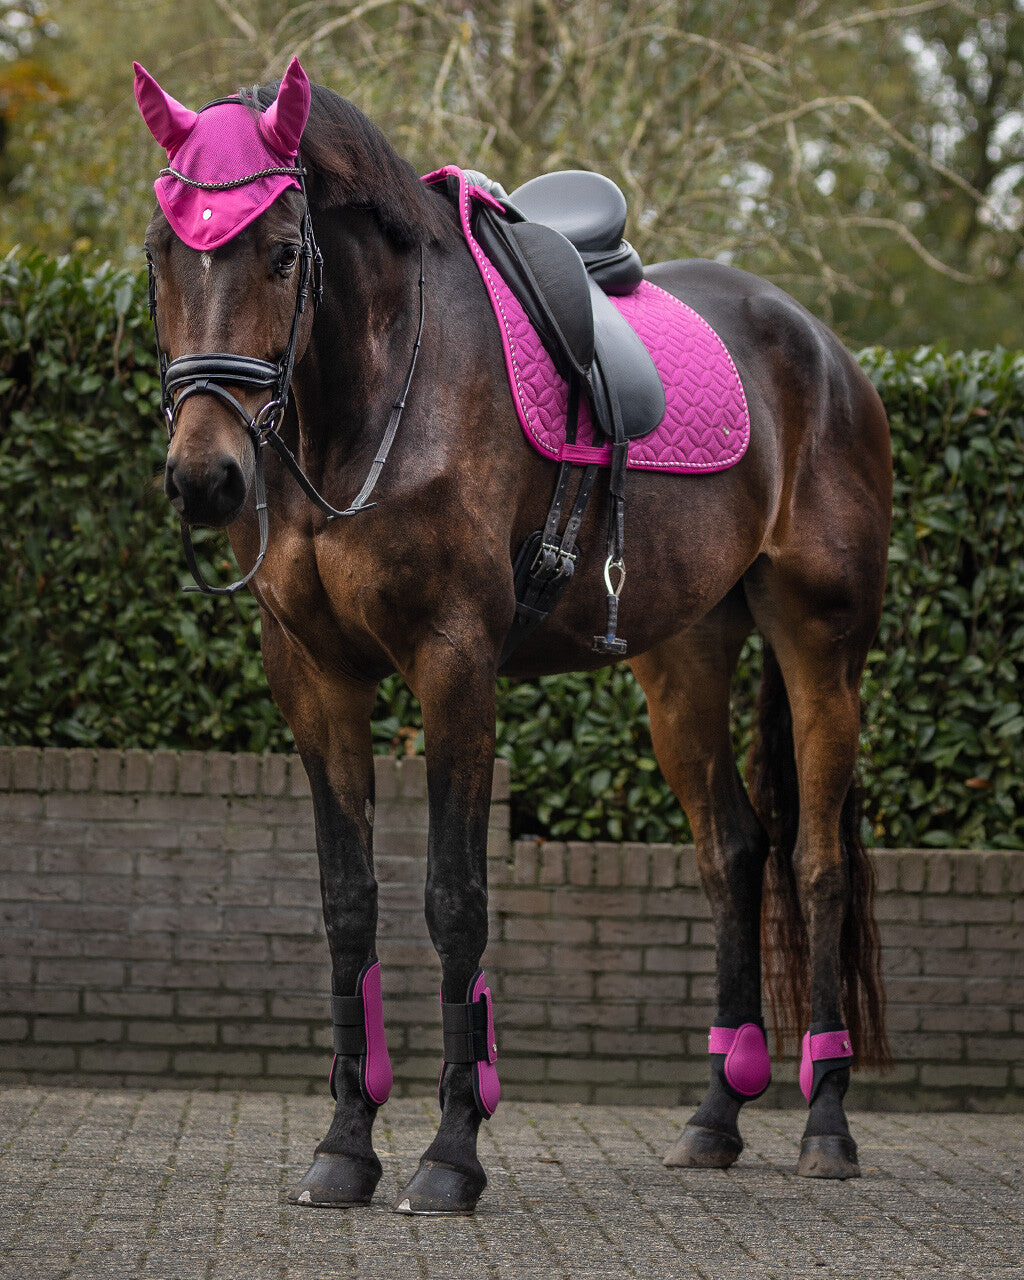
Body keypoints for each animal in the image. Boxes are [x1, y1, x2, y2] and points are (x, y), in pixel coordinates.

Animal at [134, 57, 892, 1215]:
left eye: (283, 251)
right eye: (160, 252)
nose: (206, 476)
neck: (368, 404)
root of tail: (825, 350)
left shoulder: (455, 664)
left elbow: (455, 899)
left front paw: (452, 1152)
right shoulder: (314, 676)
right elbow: (347, 904)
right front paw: (344, 1147)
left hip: (822, 648)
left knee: (815, 864)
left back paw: (826, 1121)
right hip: (682, 657)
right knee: (733, 848)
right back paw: (716, 1114)